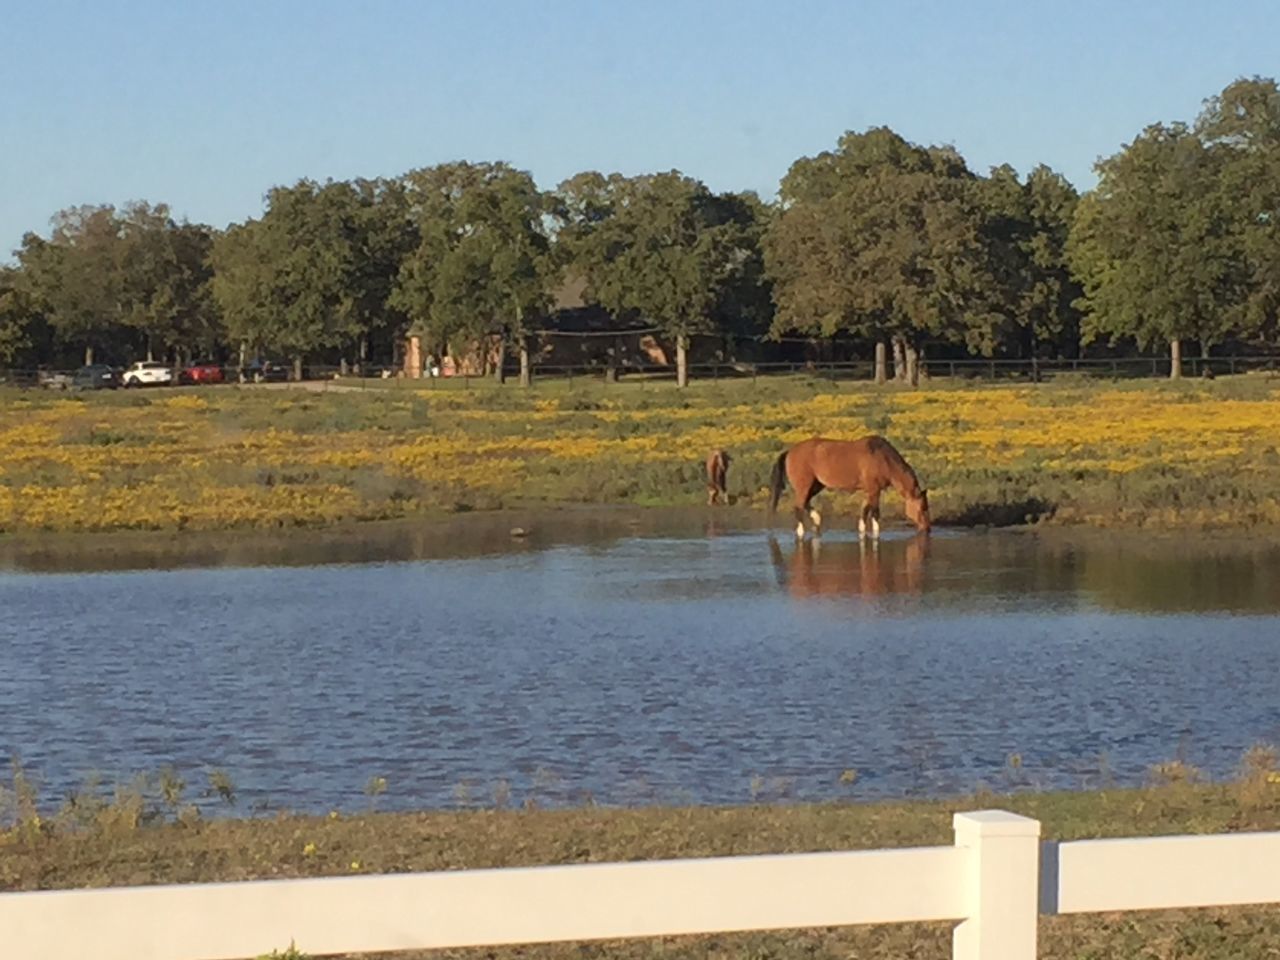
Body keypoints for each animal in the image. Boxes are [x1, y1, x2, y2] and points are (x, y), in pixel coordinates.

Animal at [768, 437, 931, 542]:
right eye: (923, 508)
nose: (927, 529)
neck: (883, 458)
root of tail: (789, 452)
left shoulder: (869, 491)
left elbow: (864, 512)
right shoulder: (874, 490)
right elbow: (875, 513)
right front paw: (876, 536)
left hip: (816, 486)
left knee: (805, 504)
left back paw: (817, 522)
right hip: (804, 486)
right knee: (798, 507)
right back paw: (801, 532)